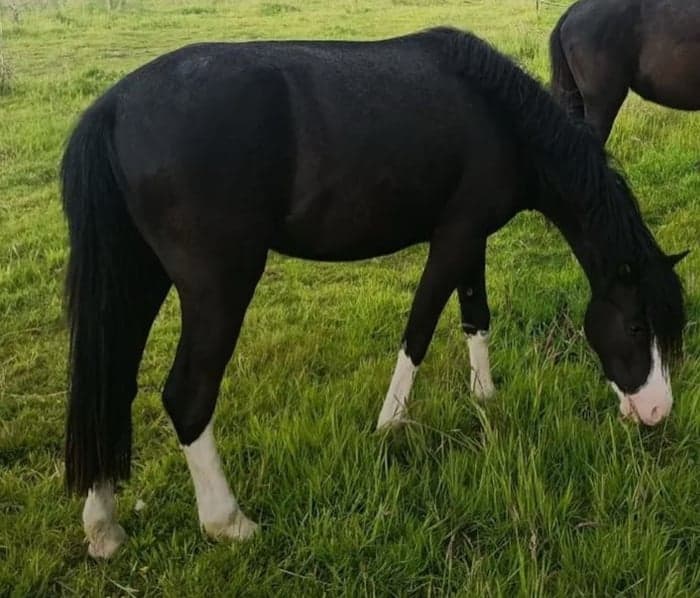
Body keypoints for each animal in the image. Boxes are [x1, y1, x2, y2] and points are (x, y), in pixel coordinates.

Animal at [60, 27, 687, 559]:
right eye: (636, 326)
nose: (657, 411)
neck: (497, 115)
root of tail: (112, 107)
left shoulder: (473, 238)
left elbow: (475, 314)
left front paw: (484, 395)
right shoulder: (453, 238)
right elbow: (421, 327)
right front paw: (391, 423)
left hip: (138, 278)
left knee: (110, 382)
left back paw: (103, 526)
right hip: (219, 286)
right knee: (187, 395)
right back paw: (227, 521)